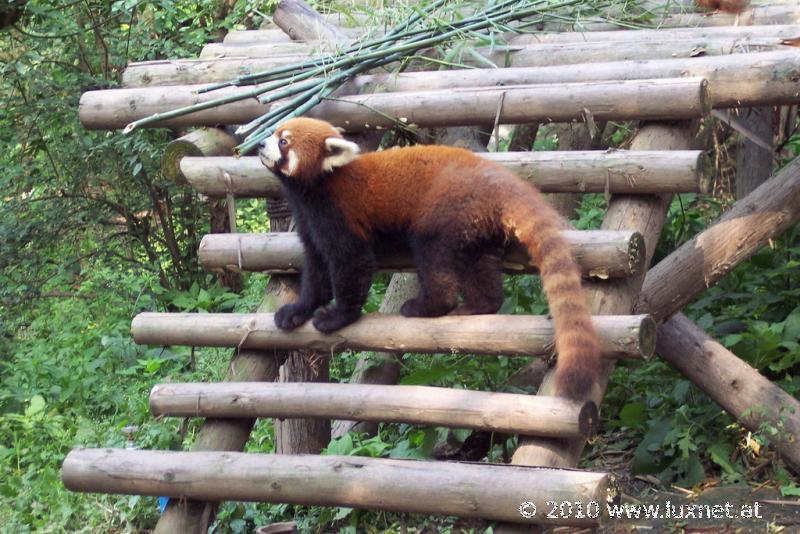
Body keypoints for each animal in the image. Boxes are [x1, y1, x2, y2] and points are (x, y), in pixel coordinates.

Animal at [260, 117, 604, 402]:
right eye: (274, 132)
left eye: (284, 141)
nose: (261, 144)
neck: (316, 187)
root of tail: (502, 180)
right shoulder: (308, 221)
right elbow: (315, 268)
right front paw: (298, 310)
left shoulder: (339, 213)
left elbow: (351, 263)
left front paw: (338, 316)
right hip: (479, 227)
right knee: (479, 265)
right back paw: (479, 305)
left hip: (446, 210)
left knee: (433, 257)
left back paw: (428, 306)